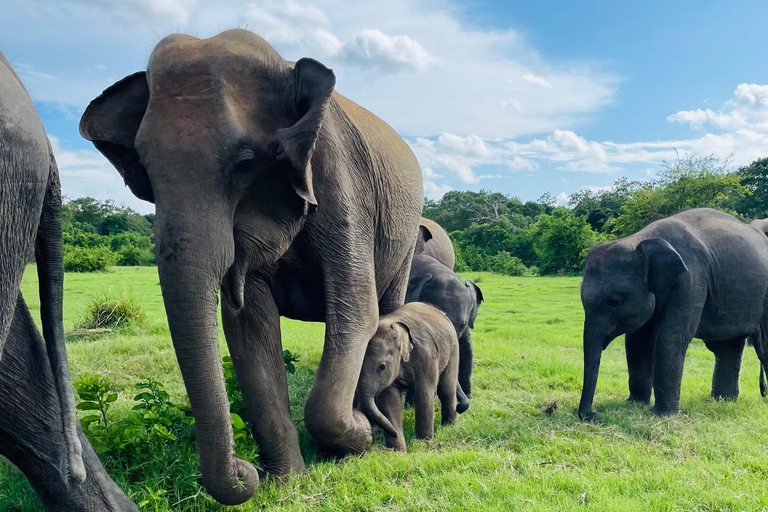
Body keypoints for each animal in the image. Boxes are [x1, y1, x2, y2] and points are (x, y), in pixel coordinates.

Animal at [80, 29, 423, 505]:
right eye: (145, 169)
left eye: (244, 164)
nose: (246, 472)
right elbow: (248, 326)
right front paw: (287, 482)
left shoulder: (342, 184)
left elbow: (356, 312)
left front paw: (357, 436)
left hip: (404, 235)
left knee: (387, 309)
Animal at [355, 302, 464, 452]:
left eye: (382, 367)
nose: (393, 433)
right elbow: (390, 401)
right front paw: (398, 451)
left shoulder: (426, 356)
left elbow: (424, 395)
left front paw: (424, 443)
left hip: (453, 347)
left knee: (446, 389)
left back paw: (449, 427)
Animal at [579, 208, 768, 421]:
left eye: (613, 302)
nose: (597, 415)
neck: (640, 239)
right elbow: (637, 342)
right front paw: (635, 404)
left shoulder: (690, 279)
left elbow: (670, 338)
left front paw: (662, 415)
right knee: (726, 346)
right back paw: (720, 401)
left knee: (762, 345)